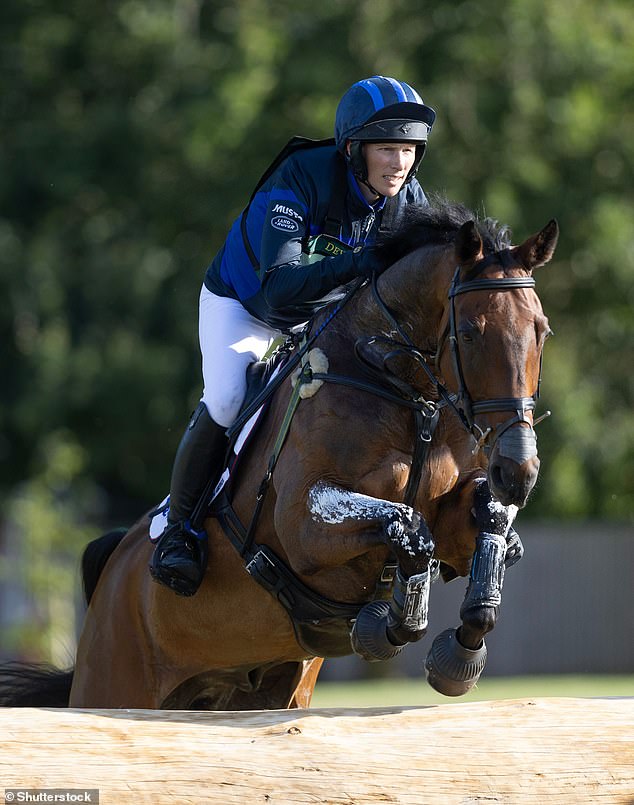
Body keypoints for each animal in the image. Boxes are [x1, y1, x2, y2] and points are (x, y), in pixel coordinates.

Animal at [0, 198, 552, 708]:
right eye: (471, 332)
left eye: (541, 330)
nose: (517, 471)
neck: (406, 394)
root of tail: (114, 569)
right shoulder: (304, 525)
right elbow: (408, 529)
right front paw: (385, 626)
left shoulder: (454, 521)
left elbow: (484, 524)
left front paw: (460, 654)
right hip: (114, 683)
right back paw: (177, 552)